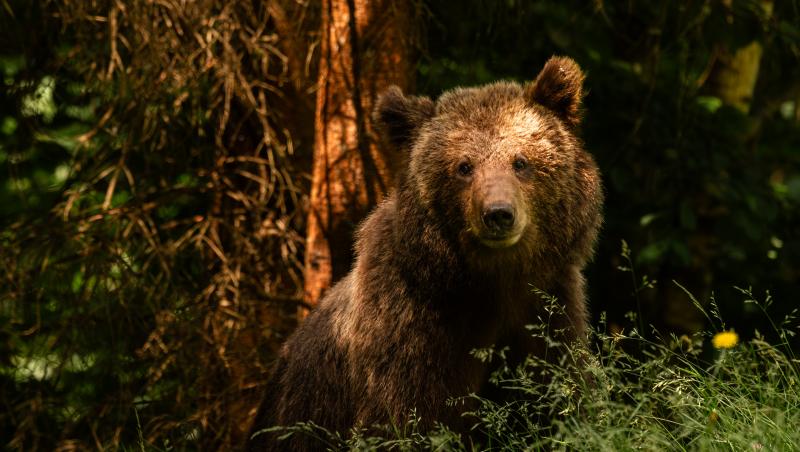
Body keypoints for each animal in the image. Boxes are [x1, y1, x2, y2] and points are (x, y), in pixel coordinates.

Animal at [247, 55, 604, 448]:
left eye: (520, 161)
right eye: (464, 166)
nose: (498, 214)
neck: (492, 281)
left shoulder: (548, 307)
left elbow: (558, 400)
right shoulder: (411, 328)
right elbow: (406, 418)